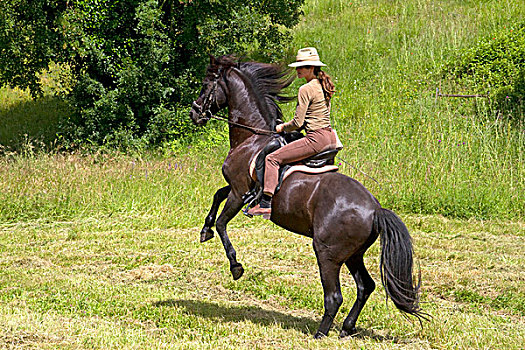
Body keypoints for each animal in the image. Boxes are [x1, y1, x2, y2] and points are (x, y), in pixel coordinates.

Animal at [189, 55, 426, 340]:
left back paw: (320, 334)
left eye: (206, 84)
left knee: (334, 296)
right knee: (365, 286)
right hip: (353, 255)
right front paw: (205, 231)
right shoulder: (237, 188)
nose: (194, 113)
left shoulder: (237, 192)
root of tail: (375, 210)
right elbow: (216, 196)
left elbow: (223, 224)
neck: (253, 136)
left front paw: (235, 266)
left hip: (327, 254)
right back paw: (346, 328)